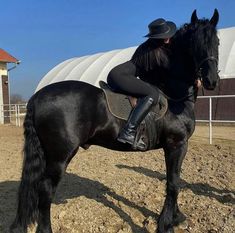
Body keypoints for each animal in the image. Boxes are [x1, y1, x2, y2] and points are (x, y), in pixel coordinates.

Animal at [11, 10, 220, 233]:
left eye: (216, 41)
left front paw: (176, 216)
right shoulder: (176, 144)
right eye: (195, 44)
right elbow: (173, 182)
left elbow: (175, 179)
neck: (173, 97)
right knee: (46, 190)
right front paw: (166, 224)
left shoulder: (175, 146)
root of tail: (37, 96)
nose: (211, 81)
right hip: (60, 155)